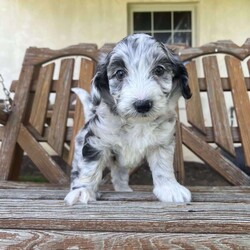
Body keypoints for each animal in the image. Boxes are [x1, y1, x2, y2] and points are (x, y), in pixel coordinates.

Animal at [64, 33, 191, 205]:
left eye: (159, 70)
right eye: (120, 73)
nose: (142, 104)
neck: (137, 123)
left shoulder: (161, 143)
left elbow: (163, 166)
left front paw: (170, 189)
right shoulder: (96, 141)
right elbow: (90, 167)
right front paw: (82, 191)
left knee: (119, 175)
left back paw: (123, 190)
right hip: (79, 152)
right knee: (78, 171)